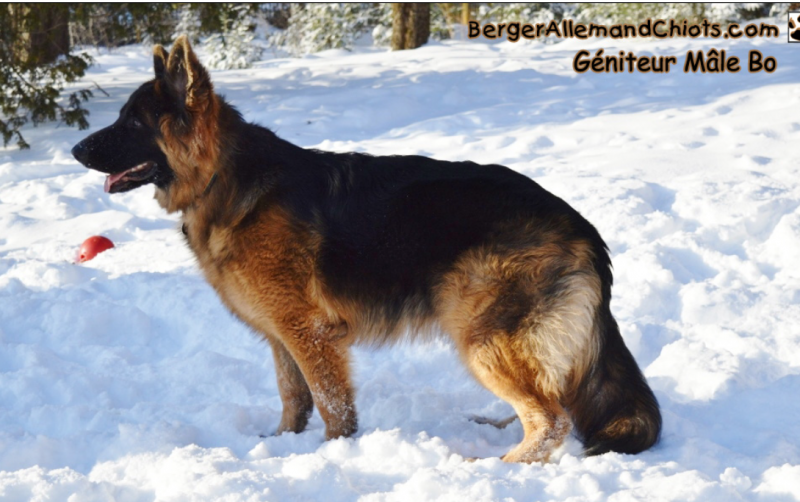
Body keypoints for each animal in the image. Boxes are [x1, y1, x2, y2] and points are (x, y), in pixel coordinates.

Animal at [69, 37, 660, 464]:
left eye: (132, 122)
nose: (74, 149)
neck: (224, 177)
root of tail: (583, 226)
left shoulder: (308, 332)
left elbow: (332, 405)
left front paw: (333, 455)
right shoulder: (280, 334)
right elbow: (293, 396)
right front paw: (282, 445)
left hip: (483, 336)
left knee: (552, 419)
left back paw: (499, 467)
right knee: (548, 403)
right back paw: (494, 429)